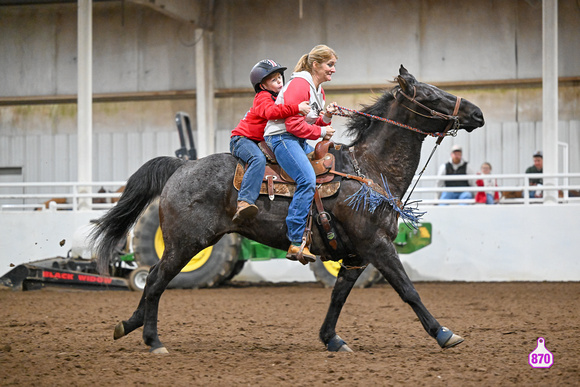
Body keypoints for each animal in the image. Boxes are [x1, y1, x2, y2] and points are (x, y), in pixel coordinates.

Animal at [92, 66, 484, 354]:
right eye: (430, 94)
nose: (477, 113)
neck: (370, 169)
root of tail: (182, 167)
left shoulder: (356, 254)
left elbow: (339, 296)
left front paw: (332, 339)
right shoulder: (377, 245)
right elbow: (408, 290)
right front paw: (444, 333)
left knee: (152, 279)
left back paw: (129, 325)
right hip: (186, 243)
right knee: (156, 279)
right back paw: (153, 340)